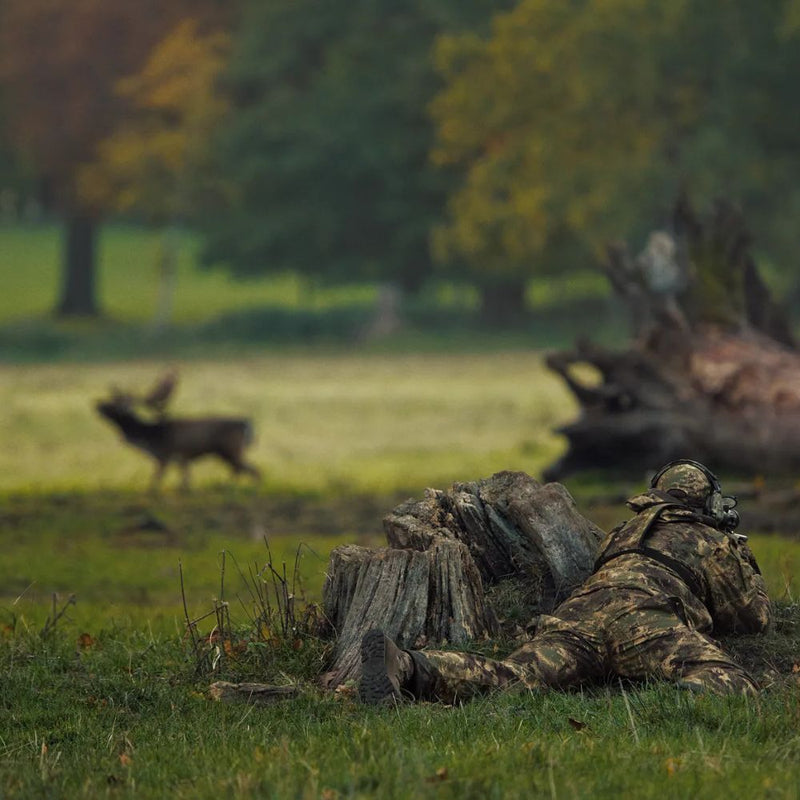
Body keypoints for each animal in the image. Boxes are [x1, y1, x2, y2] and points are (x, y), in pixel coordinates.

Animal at [95, 385, 260, 492]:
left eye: (114, 405)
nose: (97, 403)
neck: (150, 437)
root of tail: (248, 424)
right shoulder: (182, 458)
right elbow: (184, 481)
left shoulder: (166, 455)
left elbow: (155, 480)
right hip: (226, 452)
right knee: (244, 469)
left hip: (230, 449)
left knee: (249, 469)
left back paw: (232, 487)